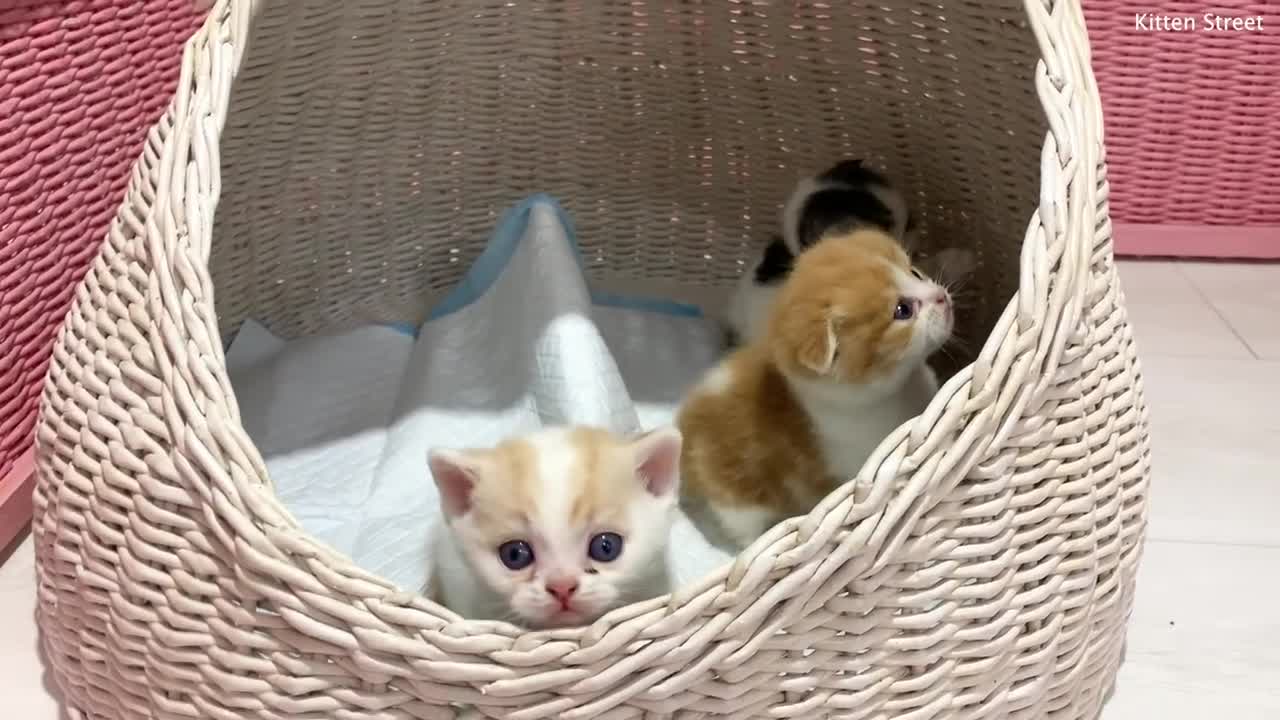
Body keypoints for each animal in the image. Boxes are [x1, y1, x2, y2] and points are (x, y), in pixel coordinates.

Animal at [680, 226, 952, 545]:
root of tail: (685, 428)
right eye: (903, 310)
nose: (942, 297)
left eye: (915, 272)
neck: (899, 389)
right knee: (744, 530)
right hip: (738, 500)